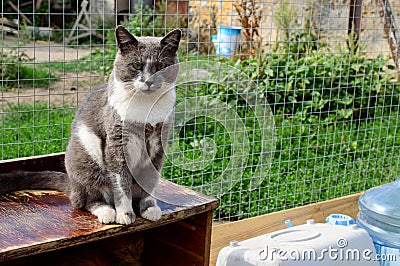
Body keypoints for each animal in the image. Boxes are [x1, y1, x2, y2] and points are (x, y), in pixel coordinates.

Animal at [0, 25, 181, 224]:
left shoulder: (158, 145)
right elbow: (121, 183)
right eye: (136, 66)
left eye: (161, 67)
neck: (145, 107)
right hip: (88, 159)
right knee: (87, 199)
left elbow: (150, 181)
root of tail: (72, 185)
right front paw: (124, 214)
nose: (149, 82)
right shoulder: (117, 144)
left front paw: (149, 208)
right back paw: (107, 211)